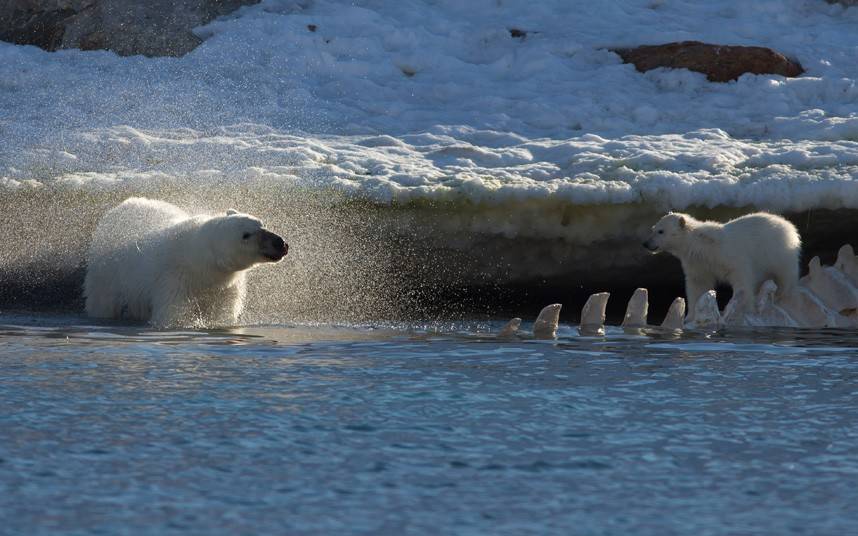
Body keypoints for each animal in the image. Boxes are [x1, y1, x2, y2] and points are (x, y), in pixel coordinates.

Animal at [85, 197, 290, 326]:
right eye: (246, 235)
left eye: (261, 224)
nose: (281, 243)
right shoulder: (174, 280)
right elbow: (173, 315)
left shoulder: (225, 287)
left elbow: (222, 313)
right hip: (108, 273)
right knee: (102, 302)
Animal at [644, 210, 800, 318]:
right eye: (653, 228)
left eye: (661, 231)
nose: (646, 243)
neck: (701, 245)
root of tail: (787, 224)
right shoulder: (697, 262)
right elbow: (698, 284)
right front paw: (691, 316)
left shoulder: (728, 255)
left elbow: (740, 276)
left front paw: (744, 308)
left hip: (777, 251)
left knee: (785, 275)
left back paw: (781, 295)